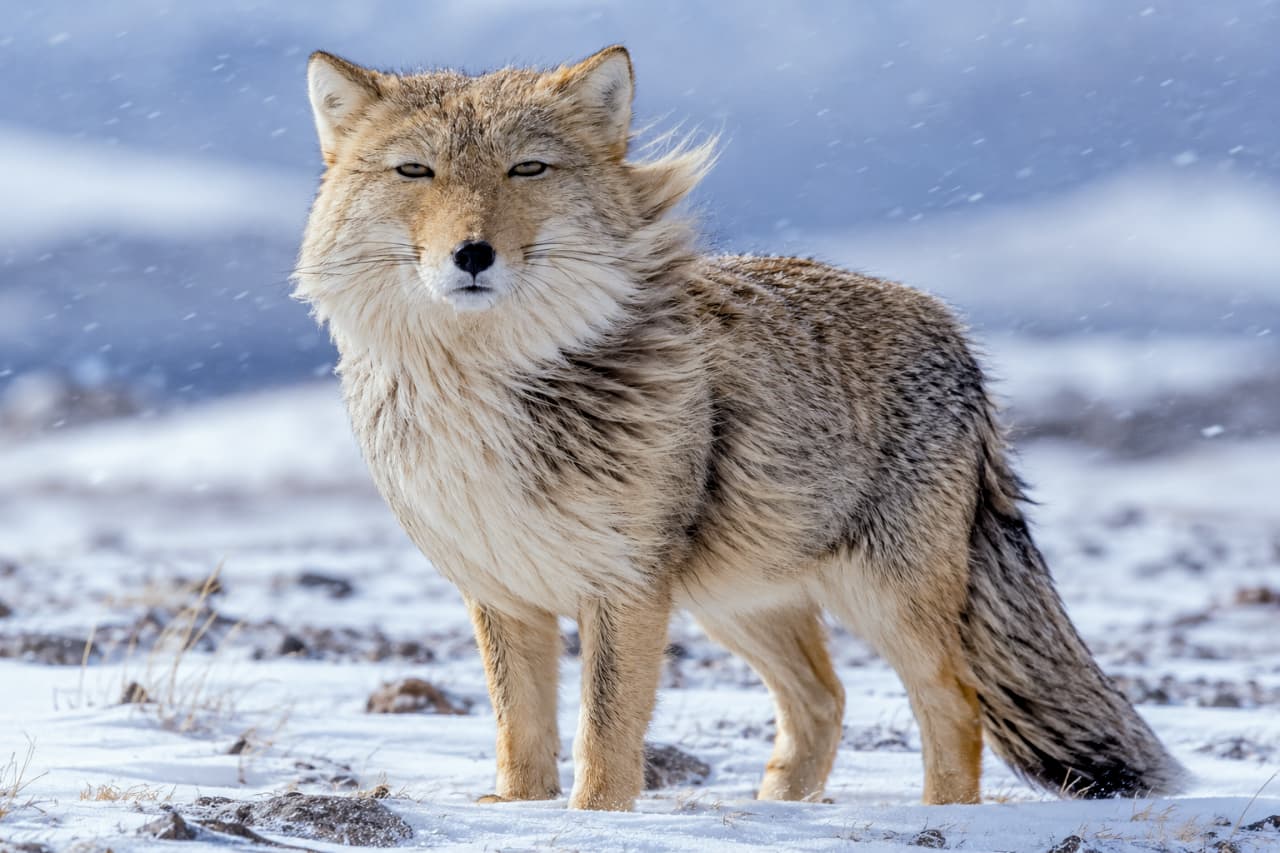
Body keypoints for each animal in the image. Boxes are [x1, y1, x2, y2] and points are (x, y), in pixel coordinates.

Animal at [294, 45, 1185, 811]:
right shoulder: (502, 591)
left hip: (880, 603)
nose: (472, 254)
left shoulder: (623, 590)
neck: (483, 388)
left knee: (953, 707)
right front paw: (519, 810)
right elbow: (523, 735)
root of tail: (956, 332)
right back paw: (781, 809)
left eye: (527, 169)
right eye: (417, 170)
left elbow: (606, 736)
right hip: (736, 603)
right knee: (825, 700)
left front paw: (597, 820)